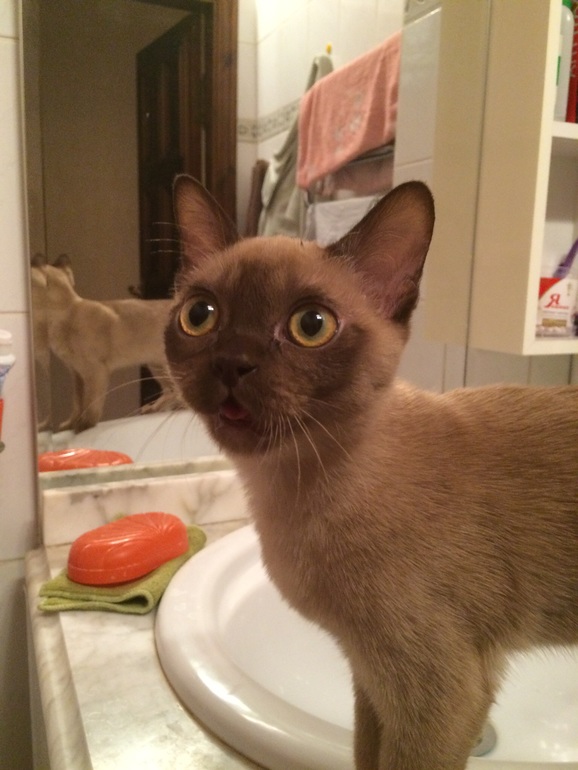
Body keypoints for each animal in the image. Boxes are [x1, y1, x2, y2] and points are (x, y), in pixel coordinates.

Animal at [43, 254, 178, 432]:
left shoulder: (95, 372)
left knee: (177, 392)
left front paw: (84, 425)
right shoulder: (76, 373)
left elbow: (91, 403)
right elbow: (77, 404)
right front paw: (70, 425)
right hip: (155, 365)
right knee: (170, 390)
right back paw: (155, 408)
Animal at [164, 175, 578, 770]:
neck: (288, 491)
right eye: (201, 315)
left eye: (311, 325)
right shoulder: (370, 676)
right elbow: (365, 754)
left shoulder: (435, 691)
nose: (232, 362)